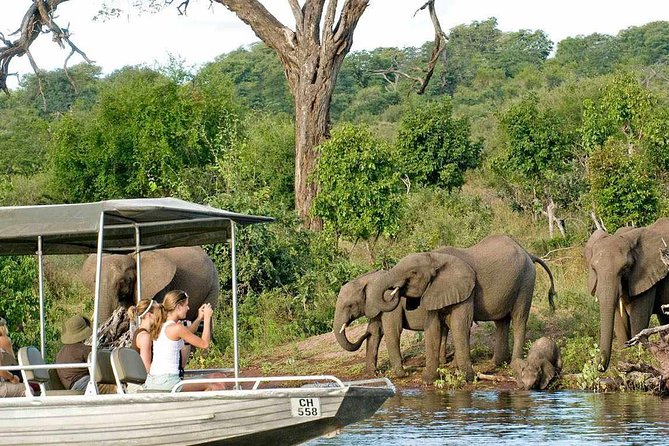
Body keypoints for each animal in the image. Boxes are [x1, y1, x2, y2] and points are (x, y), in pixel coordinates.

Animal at [362, 235, 556, 386]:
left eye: (413, 273)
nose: (396, 291)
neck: (434, 257)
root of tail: (528, 253)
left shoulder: (466, 290)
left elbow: (459, 324)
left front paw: (466, 378)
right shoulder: (435, 290)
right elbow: (432, 328)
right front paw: (427, 381)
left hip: (526, 281)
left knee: (519, 319)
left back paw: (513, 365)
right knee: (501, 321)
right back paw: (493, 365)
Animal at [580, 218, 668, 372]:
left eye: (625, 268)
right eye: (593, 269)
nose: (599, 366)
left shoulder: (646, 276)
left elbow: (638, 322)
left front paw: (639, 364)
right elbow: (619, 322)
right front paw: (626, 366)